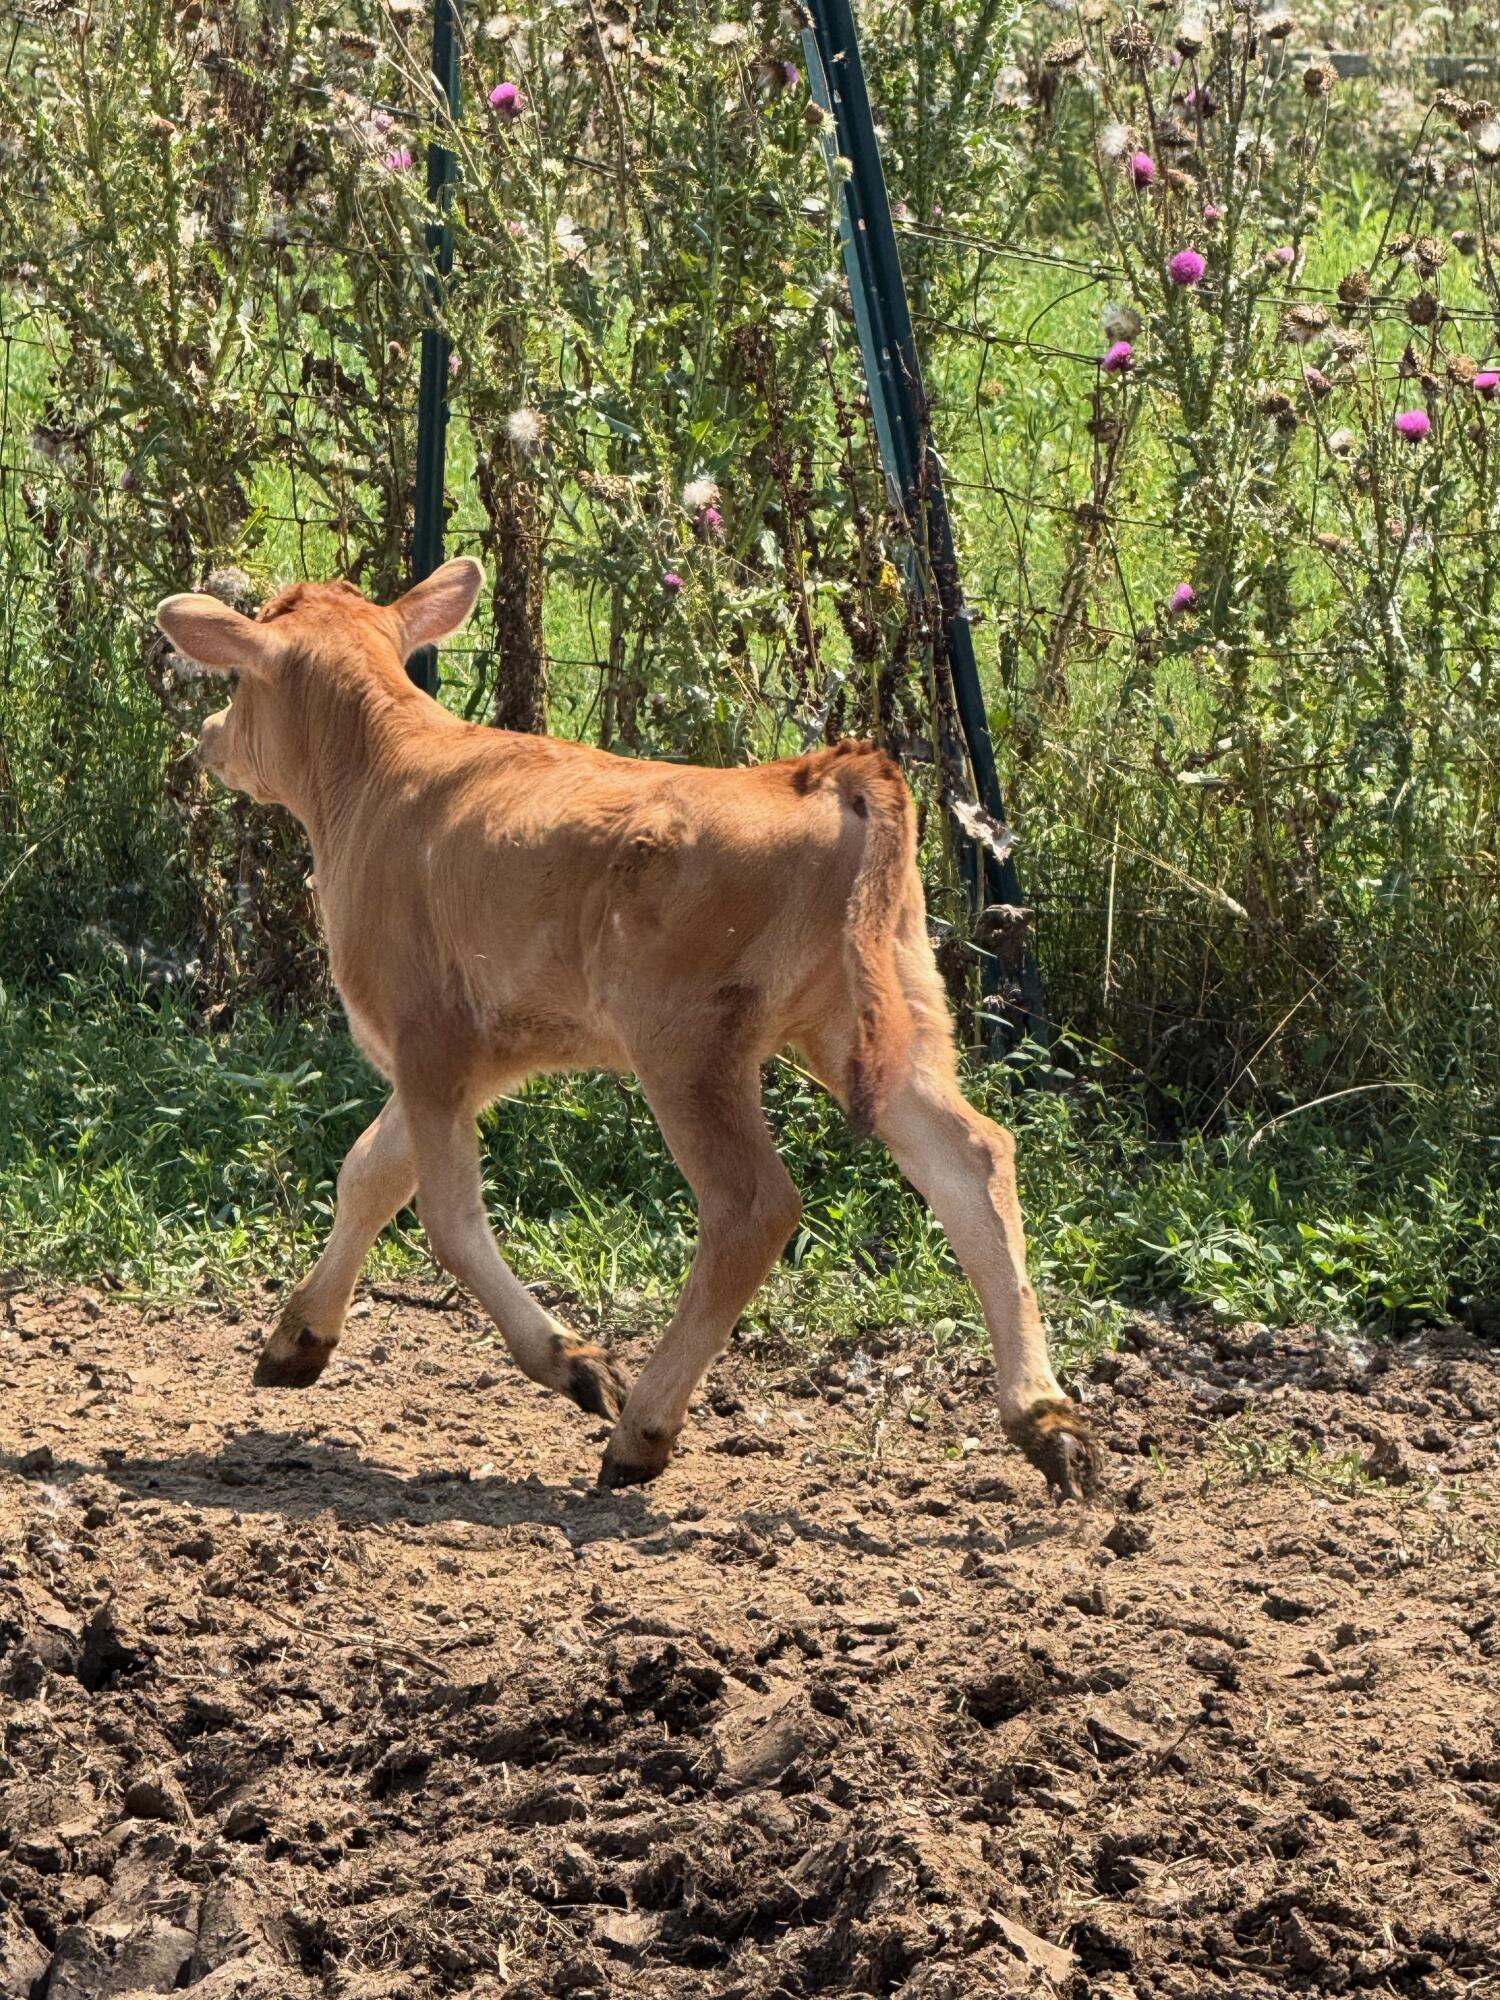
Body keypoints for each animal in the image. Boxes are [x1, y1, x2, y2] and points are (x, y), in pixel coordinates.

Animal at [153, 560, 1096, 1498]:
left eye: (237, 681)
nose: (208, 736)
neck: (378, 780)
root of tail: (825, 769)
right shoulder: (485, 1052)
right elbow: (369, 1175)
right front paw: (298, 1338)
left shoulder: (428, 1035)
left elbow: (446, 1218)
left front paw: (571, 1362)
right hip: (882, 1015)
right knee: (973, 1158)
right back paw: (1047, 1419)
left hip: (688, 1044)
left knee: (752, 1208)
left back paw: (644, 1427)